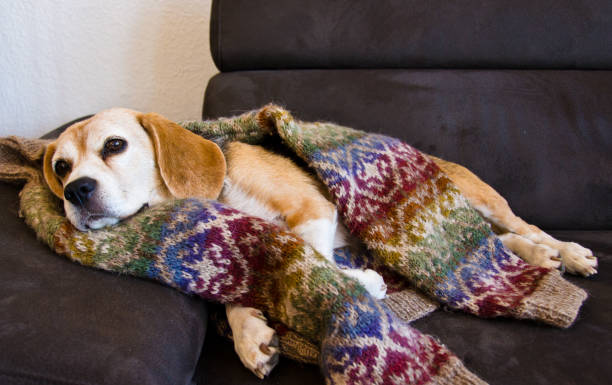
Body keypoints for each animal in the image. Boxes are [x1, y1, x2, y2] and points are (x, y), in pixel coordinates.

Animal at [41, 109, 596, 378]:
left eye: (115, 145)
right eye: (60, 166)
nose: (75, 192)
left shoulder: (313, 210)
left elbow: (312, 259)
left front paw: (363, 282)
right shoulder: (241, 248)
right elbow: (247, 288)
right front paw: (250, 335)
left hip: (485, 201)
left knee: (522, 227)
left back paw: (565, 252)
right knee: (504, 240)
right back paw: (539, 257)